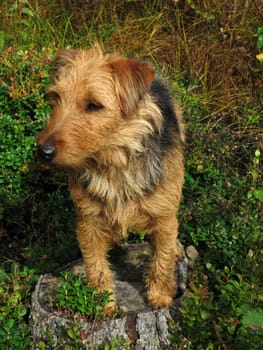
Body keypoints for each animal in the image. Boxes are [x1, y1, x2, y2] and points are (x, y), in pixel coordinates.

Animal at [37, 42, 186, 314]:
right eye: (55, 99)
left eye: (94, 105)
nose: (43, 151)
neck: (113, 163)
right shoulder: (88, 221)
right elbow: (95, 266)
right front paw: (102, 304)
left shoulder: (164, 217)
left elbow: (162, 260)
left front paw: (160, 296)